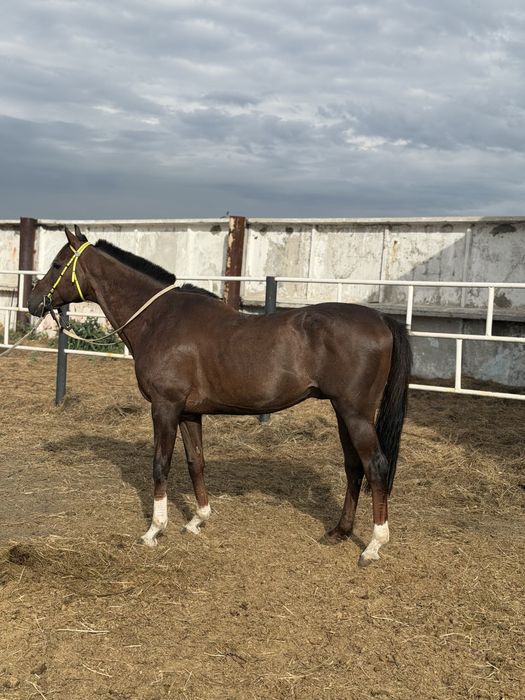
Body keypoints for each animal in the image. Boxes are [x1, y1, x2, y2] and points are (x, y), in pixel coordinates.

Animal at [28, 226, 412, 566]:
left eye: (57, 264)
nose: (33, 301)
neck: (159, 319)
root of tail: (381, 319)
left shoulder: (165, 408)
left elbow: (160, 464)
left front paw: (154, 530)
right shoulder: (188, 413)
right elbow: (195, 462)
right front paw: (198, 520)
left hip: (356, 413)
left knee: (376, 466)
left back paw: (373, 545)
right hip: (343, 412)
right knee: (354, 467)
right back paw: (340, 532)